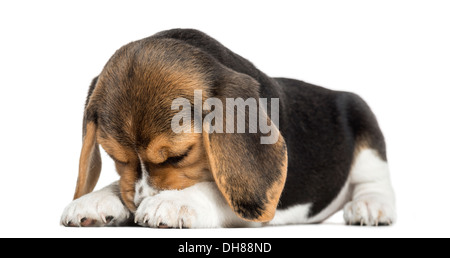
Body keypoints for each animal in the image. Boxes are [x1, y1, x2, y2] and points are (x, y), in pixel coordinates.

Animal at [61, 28, 396, 228]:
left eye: (179, 156)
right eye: (117, 159)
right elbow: (123, 183)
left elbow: (216, 189)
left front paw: (173, 202)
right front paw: (95, 200)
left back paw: (371, 206)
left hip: (364, 124)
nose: (139, 205)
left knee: (375, 181)